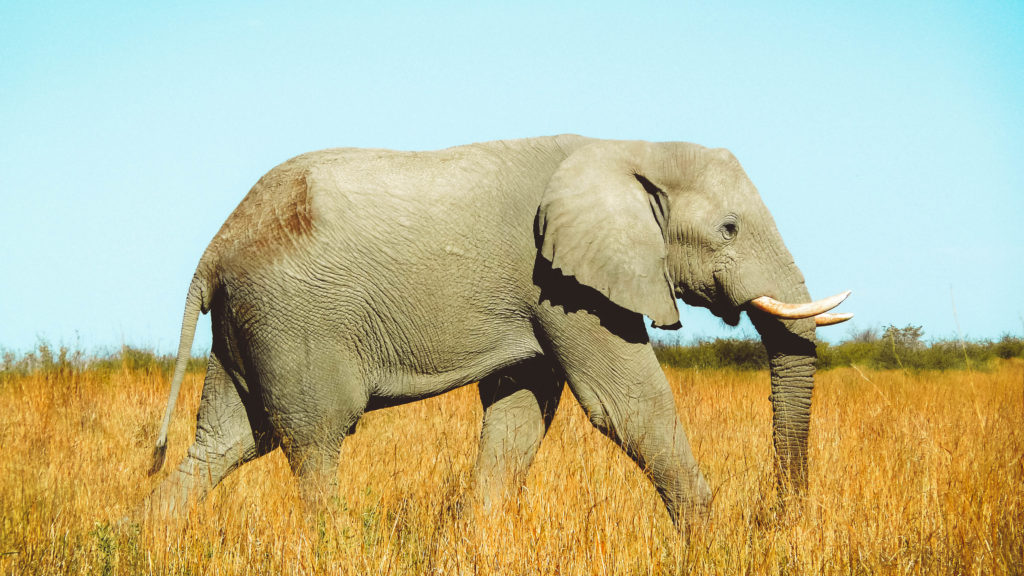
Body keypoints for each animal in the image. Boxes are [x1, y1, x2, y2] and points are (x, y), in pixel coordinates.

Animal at [148, 134, 851, 528]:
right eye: (729, 228)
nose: (781, 519)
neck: (630, 150)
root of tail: (215, 248)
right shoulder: (563, 281)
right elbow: (625, 404)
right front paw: (709, 538)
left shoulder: (542, 294)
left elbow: (521, 411)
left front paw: (476, 538)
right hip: (295, 321)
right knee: (315, 439)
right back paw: (337, 543)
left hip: (251, 321)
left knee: (229, 440)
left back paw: (147, 538)